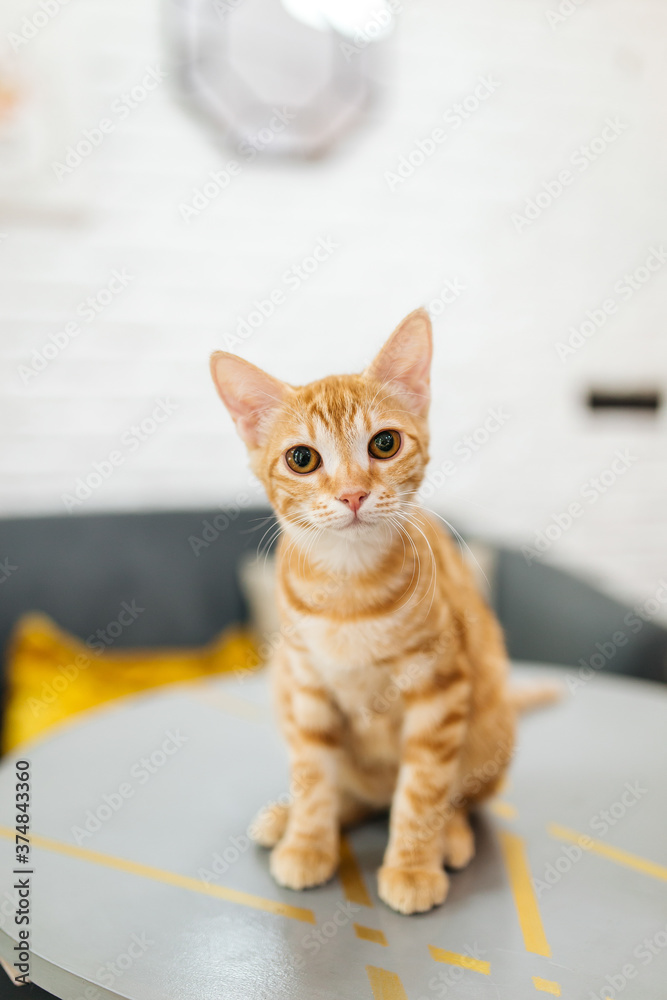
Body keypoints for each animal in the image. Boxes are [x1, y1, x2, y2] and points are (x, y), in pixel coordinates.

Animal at [211, 310, 556, 916]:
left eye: (385, 444)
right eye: (302, 458)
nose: (352, 494)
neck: (349, 591)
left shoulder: (441, 687)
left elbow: (422, 788)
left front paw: (413, 865)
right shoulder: (305, 685)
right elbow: (314, 775)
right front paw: (308, 843)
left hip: (489, 720)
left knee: (455, 796)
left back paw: (450, 836)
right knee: (355, 794)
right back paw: (289, 819)